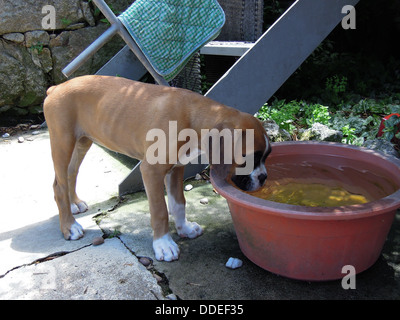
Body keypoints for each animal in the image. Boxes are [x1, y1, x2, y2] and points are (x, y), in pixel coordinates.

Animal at [42, 75, 270, 262]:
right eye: (249, 158)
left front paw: (184, 228)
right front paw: (163, 244)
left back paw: (74, 204)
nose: (264, 178)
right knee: (58, 186)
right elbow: (160, 210)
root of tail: (55, 88)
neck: (192, 116)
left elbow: (178, 203)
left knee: (70, 174)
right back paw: (70, 226)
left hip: (82, 142)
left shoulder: (176, 168)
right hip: (62, 142)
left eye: (266, 156)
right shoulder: (151, 170)